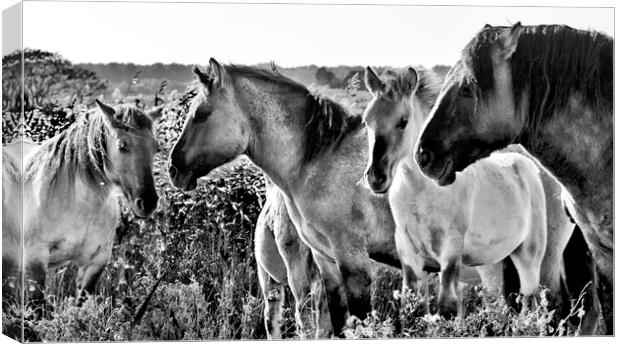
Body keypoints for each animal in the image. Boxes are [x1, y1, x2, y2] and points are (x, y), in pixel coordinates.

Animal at [1, 100, 161, 312]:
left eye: (156, 148)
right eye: (122, 146)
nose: (148, 202)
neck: (78, 206)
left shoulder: (95, 262)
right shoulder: (35, 260)